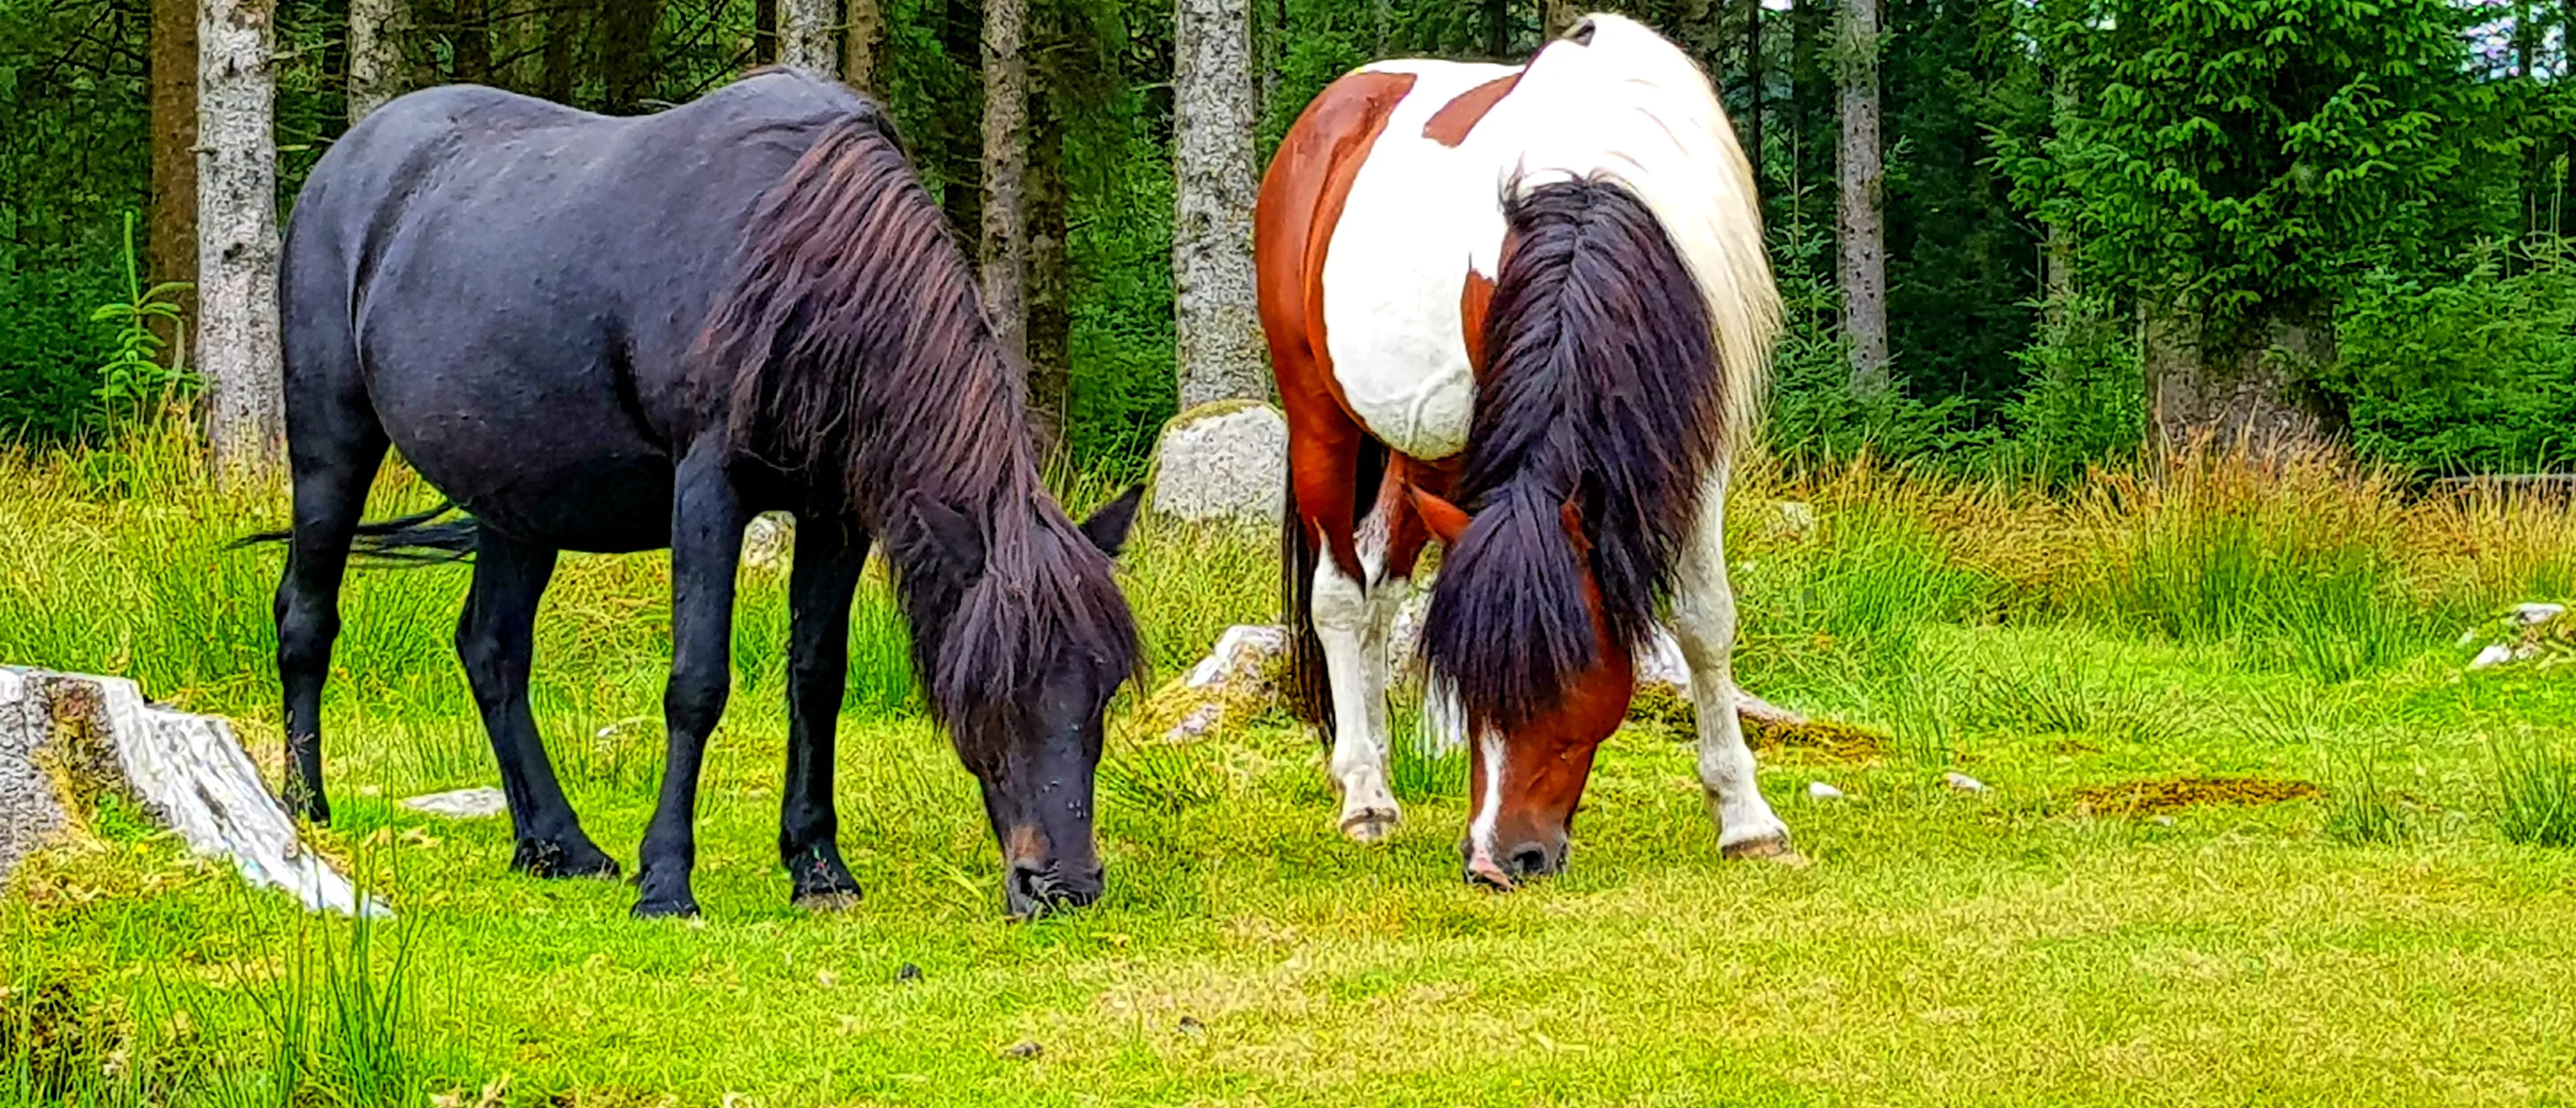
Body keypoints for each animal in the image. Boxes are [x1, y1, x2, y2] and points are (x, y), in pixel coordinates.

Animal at [256, 69, 1144, 920]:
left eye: (1103, 685)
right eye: (991, 688)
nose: (1063, 885)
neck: (806, 258)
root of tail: (346, 161)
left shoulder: (835, 514)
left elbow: (817, 677)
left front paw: (817, 864)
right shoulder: (708, 488)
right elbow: (696, 684)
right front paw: (666, 882)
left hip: (519, 500)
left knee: (492, 648)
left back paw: (556, 843)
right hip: (332, 444)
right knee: (308, 616)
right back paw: (304, 808)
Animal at [1255, 14, 1792, 887]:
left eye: (1566, 671)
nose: (1496, 859)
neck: (1602, 173)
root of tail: (1327, 115)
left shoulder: (1699, 441)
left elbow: (1704, 617)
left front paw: (1745, 818)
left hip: (1423, 450)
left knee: (1378, 593)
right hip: (1320, 419)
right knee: (1338, 594)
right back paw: (1363, 792)